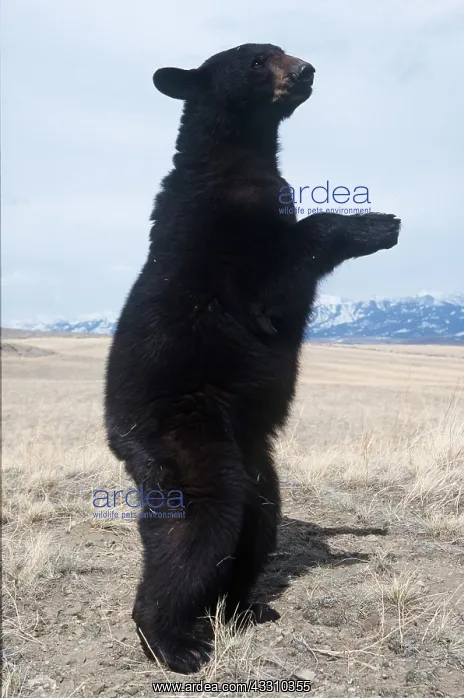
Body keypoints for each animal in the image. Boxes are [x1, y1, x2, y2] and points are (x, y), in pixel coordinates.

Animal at [104, 43, 400, 674]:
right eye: (257, 60)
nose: (308, 70)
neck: (233, 158)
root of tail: (117, 432)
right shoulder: (227, 245)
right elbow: (281, 273)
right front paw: (375, 224)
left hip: (252, 459)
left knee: (257, 521)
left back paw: (242, 607)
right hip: (185, 436)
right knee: (200, 525)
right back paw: (173, 641)